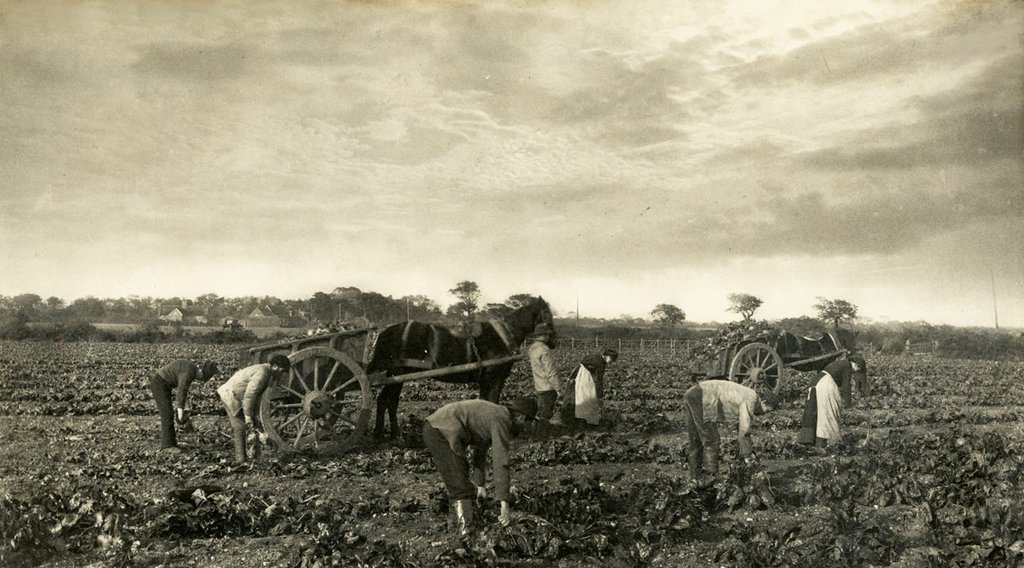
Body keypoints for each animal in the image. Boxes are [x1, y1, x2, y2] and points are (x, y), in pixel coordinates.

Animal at [368, 294, 557, 438]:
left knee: (388, 401)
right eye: (548, 315)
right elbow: (492, 402)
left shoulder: (485, 380)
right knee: (386, 400)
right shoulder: (493, 377)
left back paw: (389, 432)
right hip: (397, 373)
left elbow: (484, 402)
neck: (502, 336)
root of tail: (386, 331)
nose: (553, 342)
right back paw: (383, 433)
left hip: (396, 375)